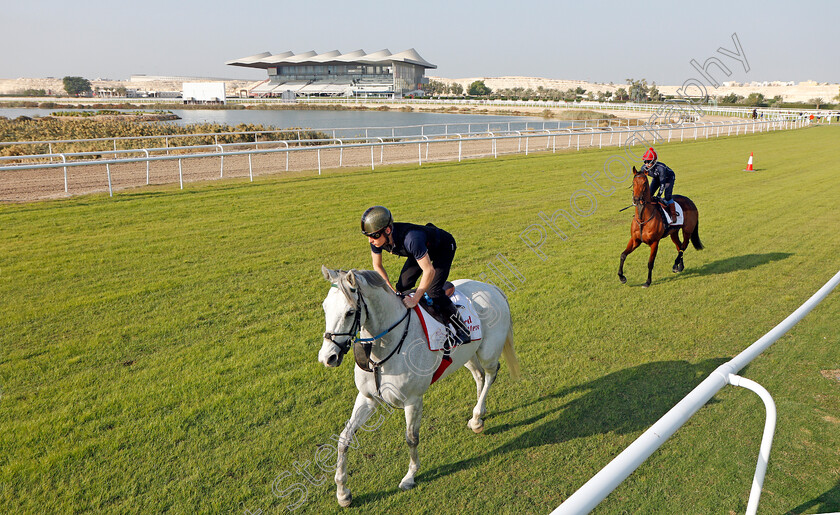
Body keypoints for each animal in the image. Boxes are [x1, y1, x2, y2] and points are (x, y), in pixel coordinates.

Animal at [320, 268, 520, 510]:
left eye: (350, 312)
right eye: (325, 307)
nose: (328, 357)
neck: (387, 345)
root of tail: (491, 288)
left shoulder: (413, 401)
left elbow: (411, 438)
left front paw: (410, 476)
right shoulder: (367, 399)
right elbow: (344, 439)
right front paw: (343, 492)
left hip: (488, 352)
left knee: (491, 374)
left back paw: (477, 417)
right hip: (466, 355)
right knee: (479, 376)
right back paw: (477, 417)